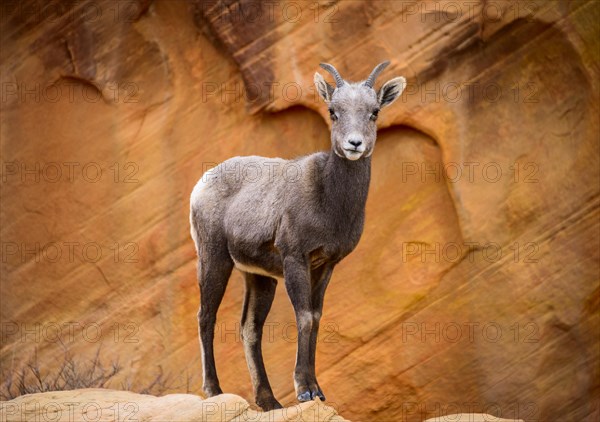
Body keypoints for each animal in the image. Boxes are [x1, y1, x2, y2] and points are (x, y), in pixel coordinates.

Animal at [191, 61, 408, 408]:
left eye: (374, 112)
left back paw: (269, 402)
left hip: (259, 278)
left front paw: (317, 391)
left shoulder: (325, 265)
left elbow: (316, 318)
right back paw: (214, 391)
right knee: (206, 317)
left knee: (249, 329)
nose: (354, 144)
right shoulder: (295, 258)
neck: (329, 201)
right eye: (333, 111)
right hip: (214, 260)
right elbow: (304, 317)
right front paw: (304, 391)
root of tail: (202, 184)